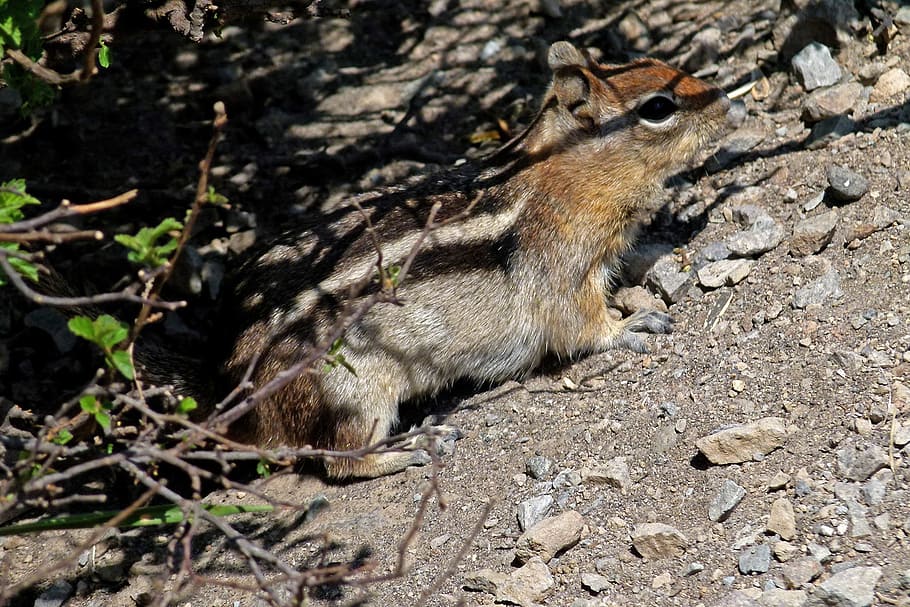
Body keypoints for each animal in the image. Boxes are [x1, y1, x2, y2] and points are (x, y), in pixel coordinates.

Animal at [159, 41, 731, 479]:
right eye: (658, 107)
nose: (727, 102)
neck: (561, 174)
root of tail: (228, 390)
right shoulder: (563, 270)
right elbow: (580, 326)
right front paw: (632, 324)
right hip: (352, 392)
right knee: (339, 460)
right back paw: (411, 446)